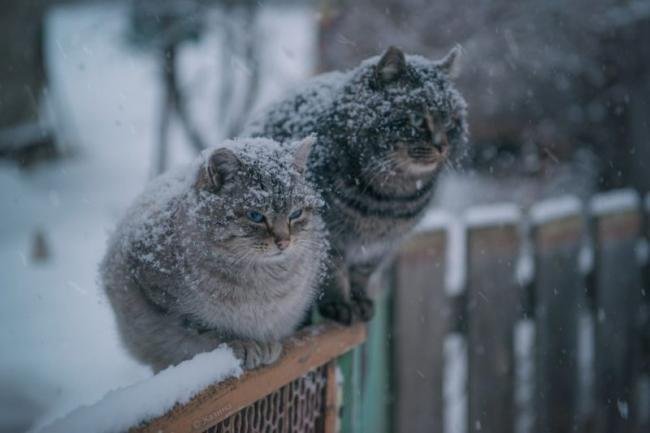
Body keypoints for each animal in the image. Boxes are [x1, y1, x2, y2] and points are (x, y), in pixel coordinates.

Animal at [100, 137, 326, 370]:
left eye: (296, 214)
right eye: (255, 216)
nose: (284, 242)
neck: (262, 280)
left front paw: (266, 344)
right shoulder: (162, 298)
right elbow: (205, 328)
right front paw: (244, 343)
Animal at [243, 46, 466, 324]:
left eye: (450, 121)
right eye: (416, 119)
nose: (442, 145)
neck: (390, 200)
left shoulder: (378, 247)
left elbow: (362, 274)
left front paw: (360, 301)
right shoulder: (328, 236)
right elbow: (333, 273)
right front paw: (339, 305)